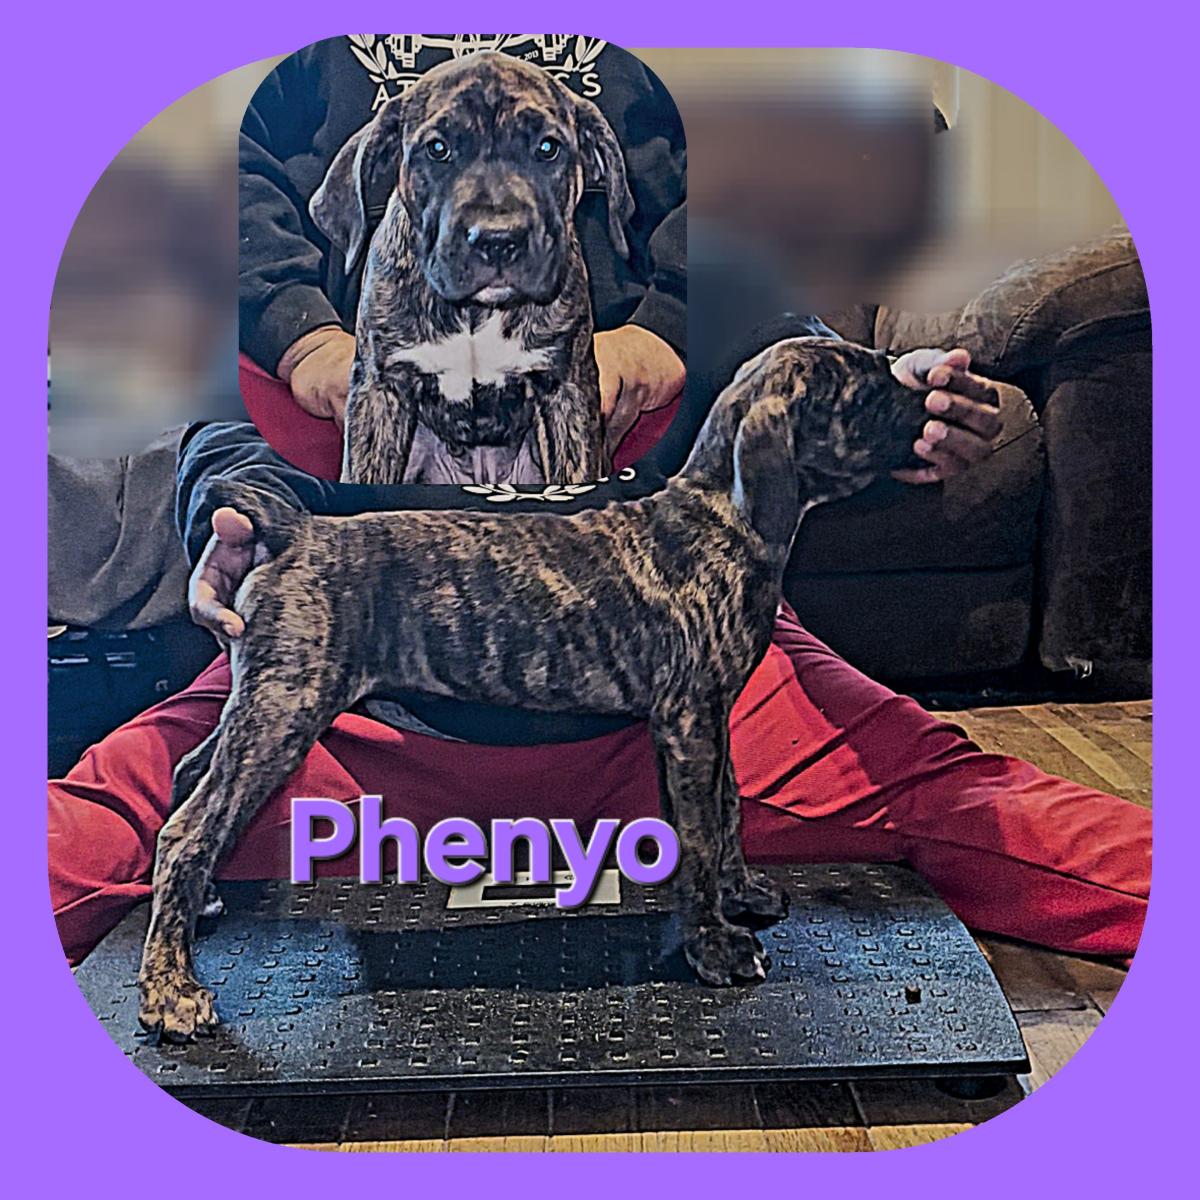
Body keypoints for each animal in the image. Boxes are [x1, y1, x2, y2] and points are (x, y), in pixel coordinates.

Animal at [137, 339, 934, 1041]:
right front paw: (716, 946)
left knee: (189, 774)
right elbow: (703, 838)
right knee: (188, 833)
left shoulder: (709, 719)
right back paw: (172, 994)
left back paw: (200, 910)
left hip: (267, 699)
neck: (721, 518)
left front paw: (741, 896)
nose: (927, 391)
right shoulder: (688, 721)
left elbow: (730, 809)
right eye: (865, 397)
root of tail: (296, 531)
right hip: (286, 707)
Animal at [308, 52, 633, 487]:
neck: (476, 312)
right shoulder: (380, 390)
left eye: (548, 148)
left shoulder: (566, 389)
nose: (498, 240)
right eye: (438, 148)